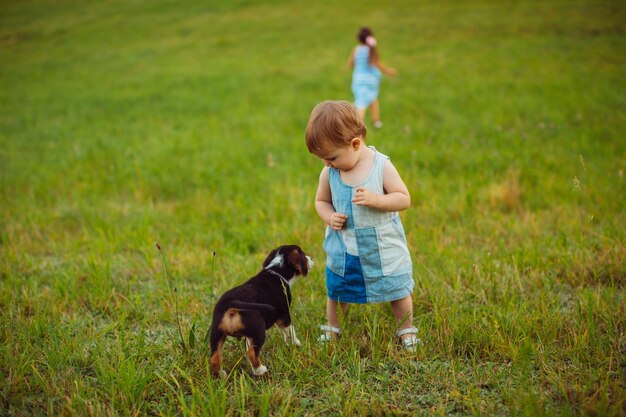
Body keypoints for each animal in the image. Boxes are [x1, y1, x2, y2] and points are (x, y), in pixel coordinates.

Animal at [208, 244, 310, 376]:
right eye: (303, 254)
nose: (311, 259)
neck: (276, 270)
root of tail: (231, 304)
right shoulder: (284, 316)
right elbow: (290, 331)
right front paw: (295, 343)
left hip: (216, 334)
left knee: (215, 357)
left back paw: (221, 375)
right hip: (258, 331)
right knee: (251, 353)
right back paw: (260, 370)